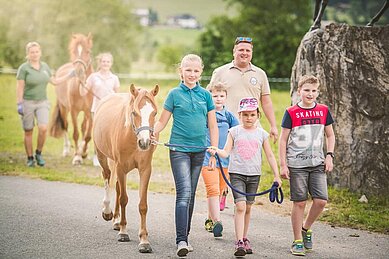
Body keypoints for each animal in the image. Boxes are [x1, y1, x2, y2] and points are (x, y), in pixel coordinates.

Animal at [49, 33, 93, 166]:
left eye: (88, 51)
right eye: (73, 51)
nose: (79, 72)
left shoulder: (90, 112)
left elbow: (87, 135)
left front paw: (84, 153)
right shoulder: (74, 111)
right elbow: (75, 133)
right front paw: (77, 157)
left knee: (83, 127)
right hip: (64, 108)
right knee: (65, 126)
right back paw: (66, 150)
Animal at [94, 85, 159, 254]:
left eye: (154, 113)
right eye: (134, 113)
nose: (145, 142)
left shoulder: (145, 170)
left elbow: (142, 205)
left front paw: (144, 240)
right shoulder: (121, 167)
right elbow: (123, 199)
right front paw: (123, 232)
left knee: (117, 187)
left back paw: (116, 220)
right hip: (102, 156)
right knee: (107, 177)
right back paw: (108, 212)